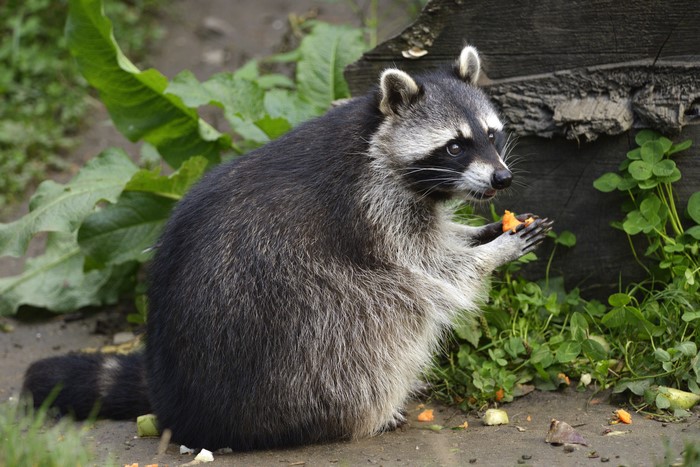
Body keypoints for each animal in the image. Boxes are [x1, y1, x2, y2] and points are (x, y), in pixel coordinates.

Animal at [23, 46, 552, 451]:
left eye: (491, 134)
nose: (502, 178)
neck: (374, 135)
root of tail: (179, 403)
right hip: (296, 332)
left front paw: (481, 234)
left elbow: (441, 242)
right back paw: (370, 410)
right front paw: (491, 252)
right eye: (455, 146)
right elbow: (430, 267)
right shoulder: (372, 210)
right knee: (375, 316)